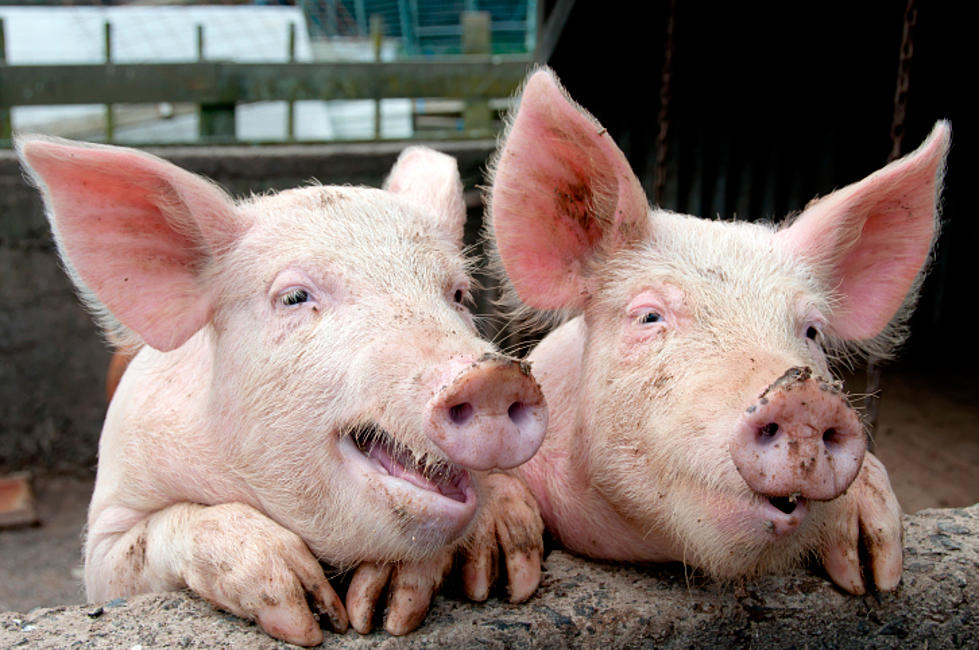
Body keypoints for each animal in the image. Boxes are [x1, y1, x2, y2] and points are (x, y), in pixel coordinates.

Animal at [17, 138, 552, 644]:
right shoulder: (108, 527)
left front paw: (407, 604)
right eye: (294, 297)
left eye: (458, 295)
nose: (494, 377)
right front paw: (310, 616)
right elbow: (141, 545)